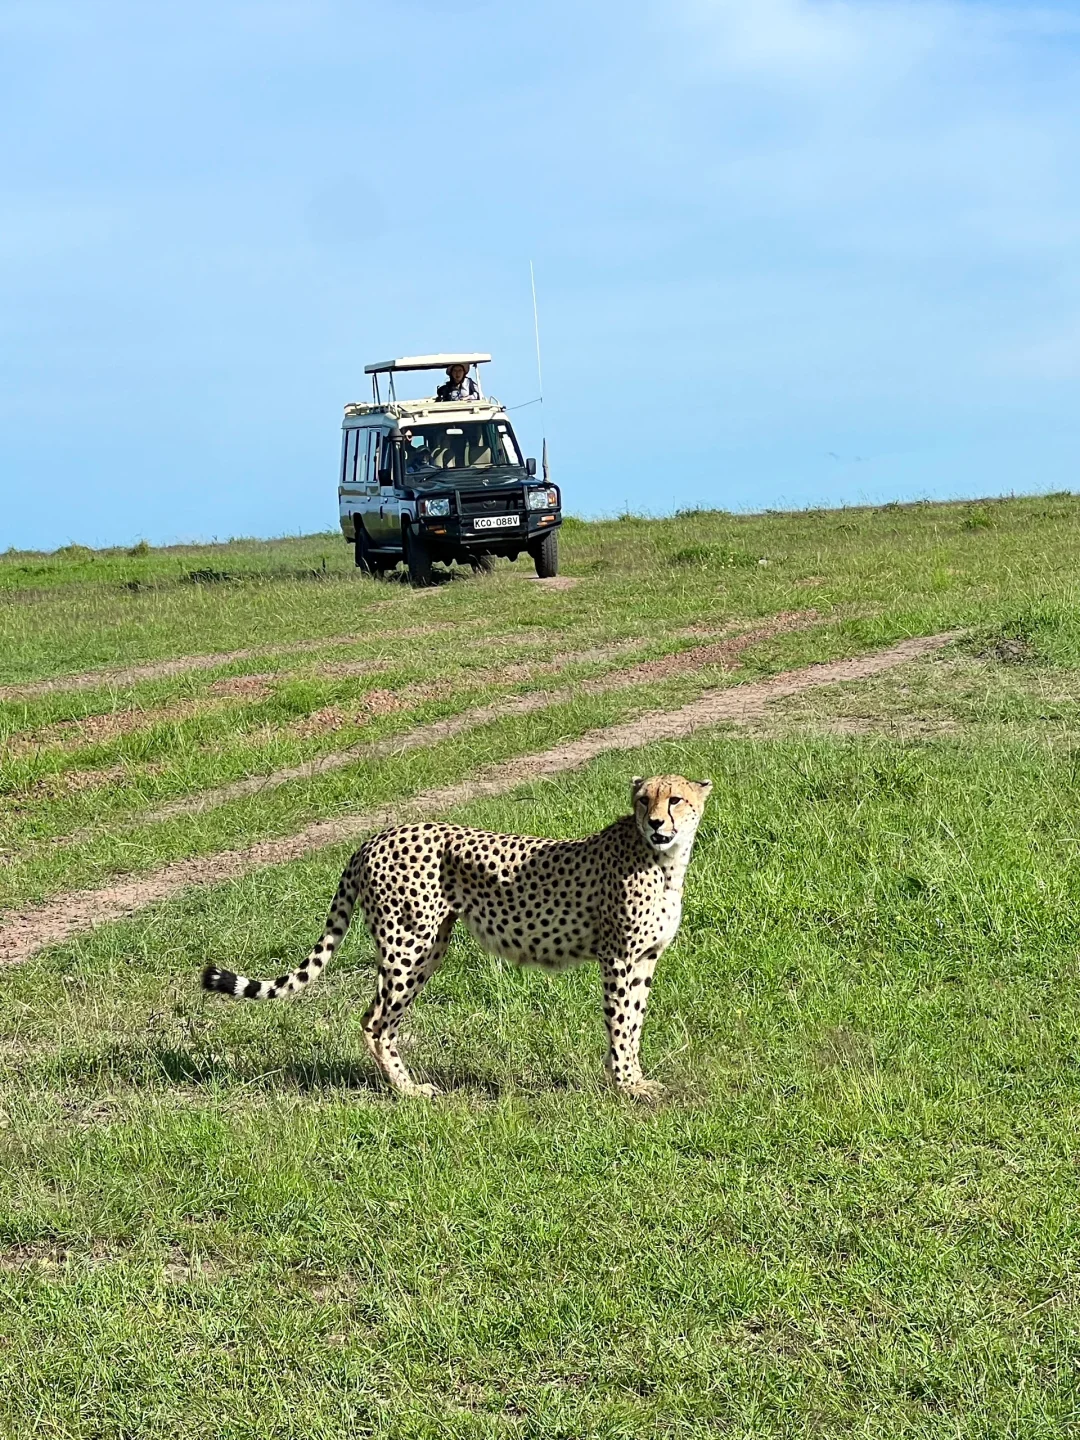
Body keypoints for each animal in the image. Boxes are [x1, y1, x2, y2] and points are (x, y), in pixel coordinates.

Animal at [203, 777, 714, 1100]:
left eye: (675, 800)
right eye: (644, 800)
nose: (655, 823)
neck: (663, 860)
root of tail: (374, 837)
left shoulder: (645, 958)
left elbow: (635, 1022)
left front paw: (634, 1078)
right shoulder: (619, 957)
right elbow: (621, 1022)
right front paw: (627, 1085)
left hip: (429, 947)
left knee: (377, 1018)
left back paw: (398, 1085)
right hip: (409, 944)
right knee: (375, 1020)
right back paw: (408, 1091)